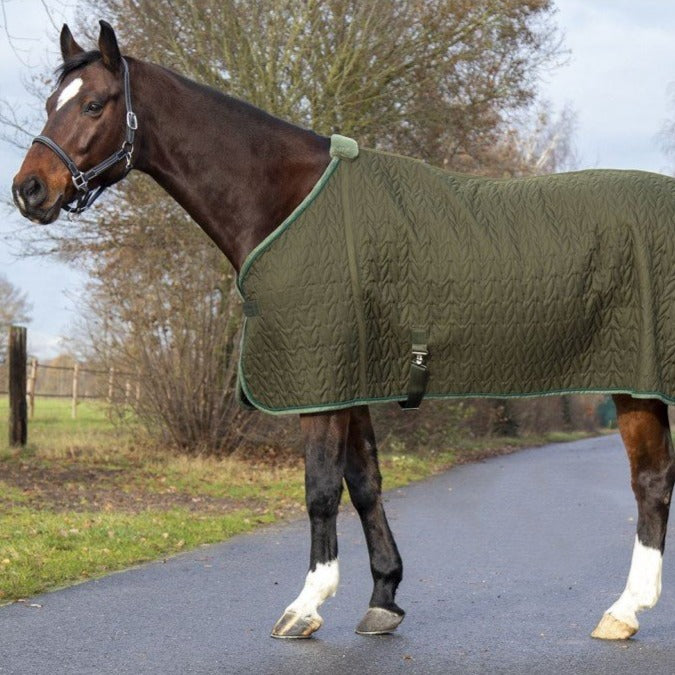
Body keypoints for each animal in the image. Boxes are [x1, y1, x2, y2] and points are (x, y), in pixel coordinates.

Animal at [12, 21, 675, 642]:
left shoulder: (319, 376)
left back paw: (624, 610)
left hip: (637, 382)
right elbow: (365, 484)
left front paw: (306, 605)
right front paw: (384, 597)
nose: (29, 189)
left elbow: (321, 488)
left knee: (649, 481)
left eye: (94, 103)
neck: (288, 199)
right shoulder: (348, 380)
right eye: (48, 102)